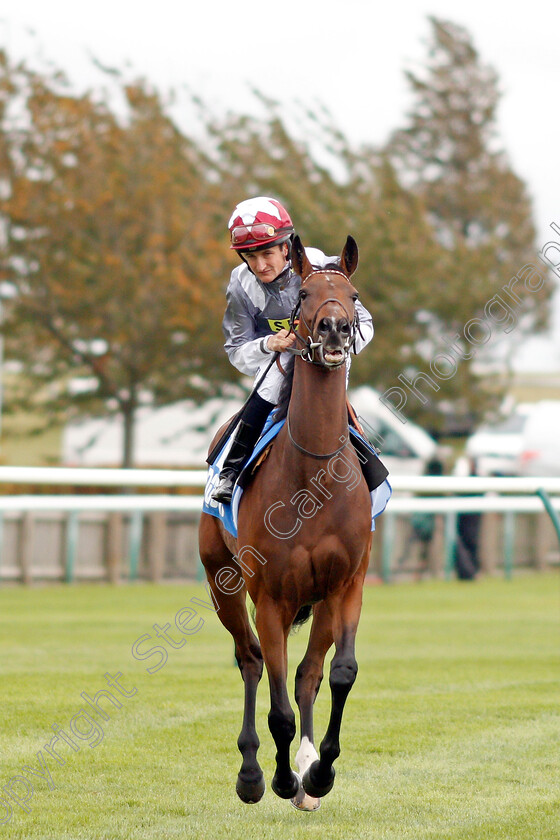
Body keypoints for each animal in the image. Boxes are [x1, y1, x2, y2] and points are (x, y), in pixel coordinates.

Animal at [199, 233, 374, 812]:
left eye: (352, 294)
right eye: (304, 297)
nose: (335, 328)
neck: (313, 474)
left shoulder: (347, 584)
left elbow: (338, 673)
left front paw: (318, 772)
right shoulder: (270, 596)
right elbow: (276, 704)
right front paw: (277, 779)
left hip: (317, 599)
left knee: (307, 674)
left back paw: (306, 771)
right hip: (223, 584)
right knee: (251, 660)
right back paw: (254, 773)